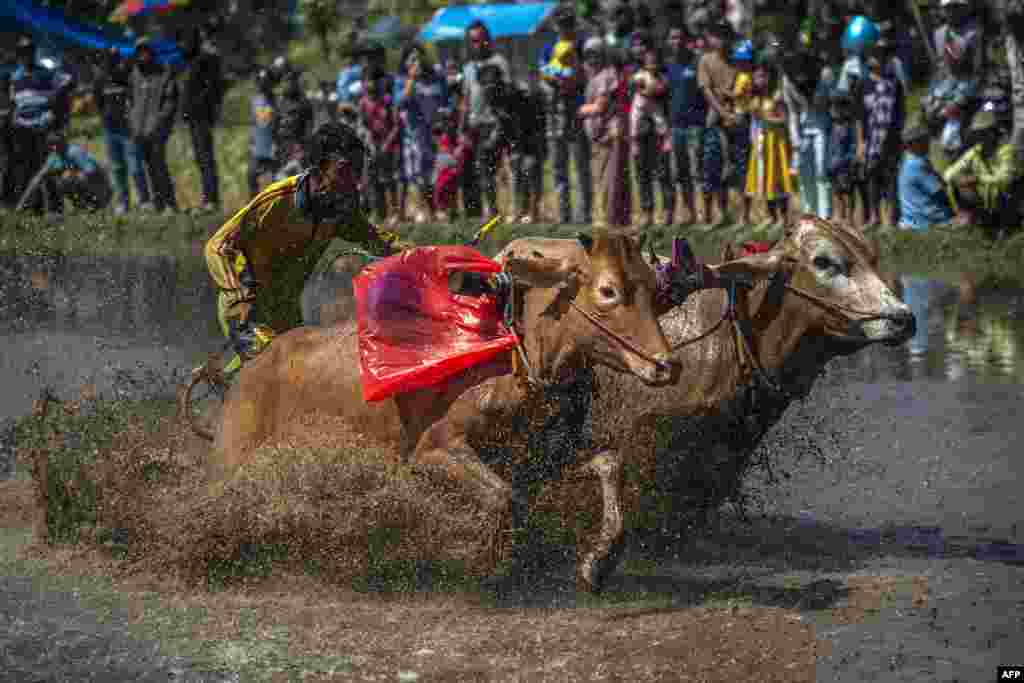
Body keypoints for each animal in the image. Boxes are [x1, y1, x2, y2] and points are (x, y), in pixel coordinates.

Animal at [210, 229, 675, 573]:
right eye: (608, 291)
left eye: (652, 287)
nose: (667, 365)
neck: (516, 353)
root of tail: (247, 372)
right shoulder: (433, 450)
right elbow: (502, 497)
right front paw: (484, 558)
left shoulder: (541, 453)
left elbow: (608, 462)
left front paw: (599, 560)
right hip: (233, 463)